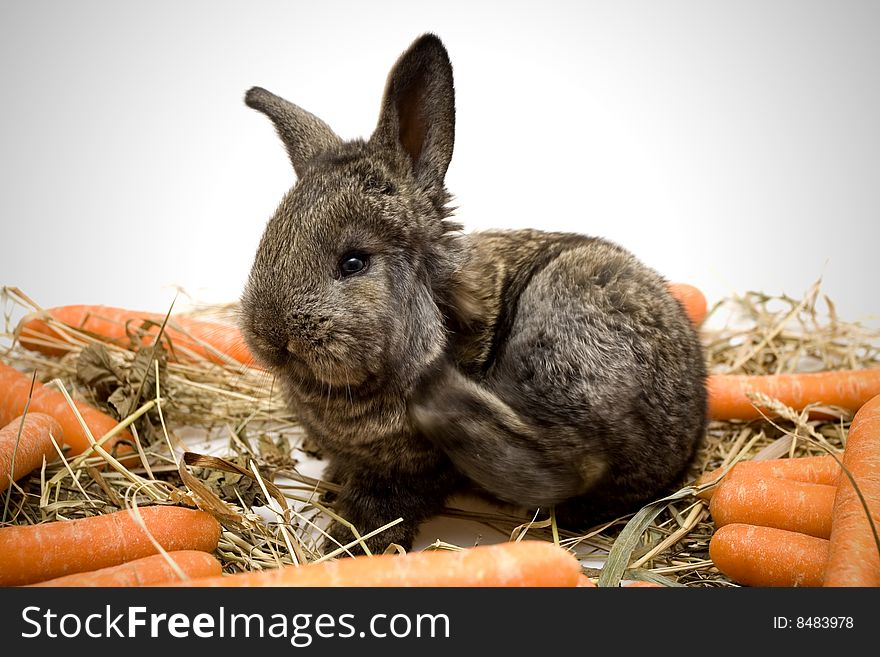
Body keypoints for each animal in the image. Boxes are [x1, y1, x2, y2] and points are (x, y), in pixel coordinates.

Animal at [239, 32, 708, 552]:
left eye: (354, 262)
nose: (270, 334)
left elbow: (389, 498)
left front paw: (352, 538)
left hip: (563, 321)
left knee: (572, 461)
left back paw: (441, 397)